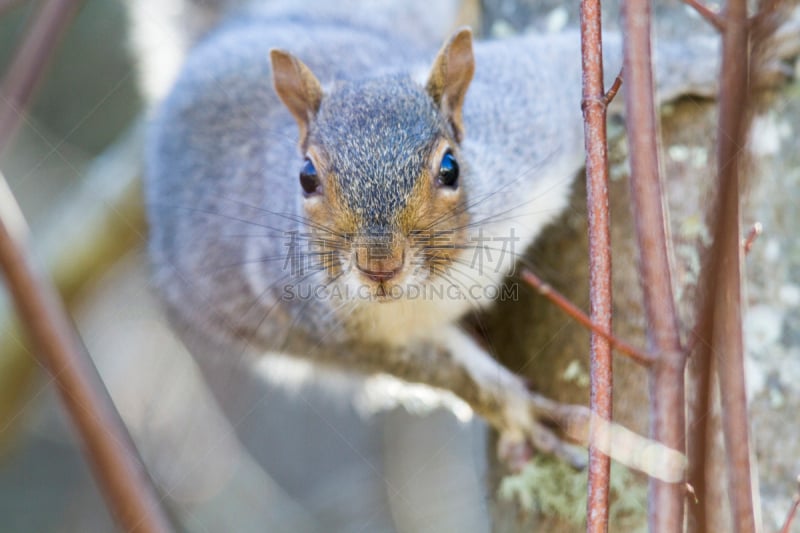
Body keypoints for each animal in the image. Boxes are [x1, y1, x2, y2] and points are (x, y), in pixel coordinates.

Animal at [145, 0, 736, 466]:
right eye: (306, 177)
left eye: (450, 167)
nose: (379, 265)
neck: (436, 280)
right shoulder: (335, 333)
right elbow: (456, 377)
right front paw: (519, 412)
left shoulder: (531, 120)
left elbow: (566, 66)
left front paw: (705, 62)